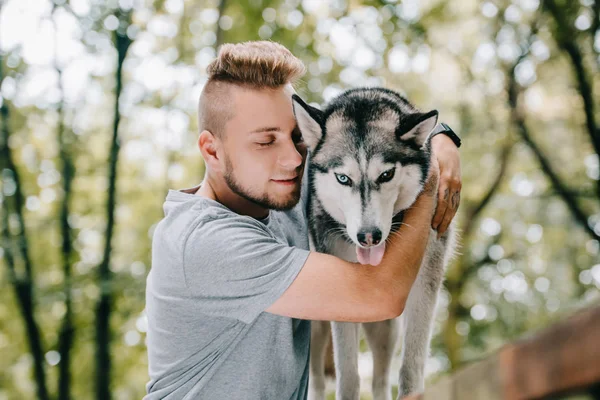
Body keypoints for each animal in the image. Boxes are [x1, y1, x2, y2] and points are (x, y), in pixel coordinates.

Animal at [292, 88, 458, 400]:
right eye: (343, 178)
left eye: (386, 175)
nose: (369, 236)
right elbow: (348, 376)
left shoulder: (424, 283)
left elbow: (410, 368)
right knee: (316, 379)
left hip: (385, 326)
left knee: (380, 379)